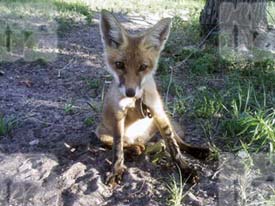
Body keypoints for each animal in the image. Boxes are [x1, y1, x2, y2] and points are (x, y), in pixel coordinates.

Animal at [96, 10, 210, 187]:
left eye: (143, 67)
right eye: (119, 65)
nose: (130, 92)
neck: (136, 101)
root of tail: (144, 139)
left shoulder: (158, 112)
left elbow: (174, 147)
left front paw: (185, 169)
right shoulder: (118, 114)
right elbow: (117, 147)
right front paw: (116, 170)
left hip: (163, 122)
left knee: (180, 143)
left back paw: (198, 151)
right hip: (101, 134)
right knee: (126, 145)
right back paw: (134, 149)